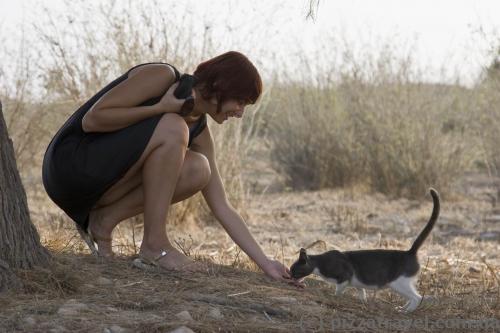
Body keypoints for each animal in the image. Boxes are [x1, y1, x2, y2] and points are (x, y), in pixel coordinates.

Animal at [292, 188, 440, 312]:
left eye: (295, 271)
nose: (291, 277)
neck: (319, 263)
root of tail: (410, 252)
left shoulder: (344, 276)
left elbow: (338, 290)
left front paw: (335, 297)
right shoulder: (357, 283)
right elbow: (361, 292)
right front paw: (363, 302)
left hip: (398, 283)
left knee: (417, 297)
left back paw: (406, 311)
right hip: (404, 283)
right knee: (414, 296)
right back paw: (402, 308)